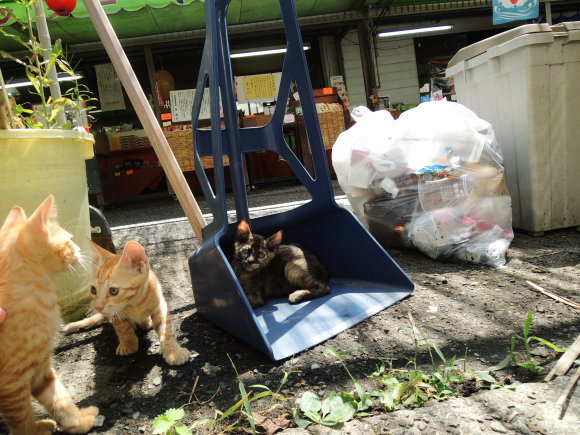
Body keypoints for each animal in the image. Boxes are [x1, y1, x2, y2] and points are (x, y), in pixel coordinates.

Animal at [0, 196, 98, 434]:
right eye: (69, 240)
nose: (78, 248)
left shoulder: (41, 367)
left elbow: (60, 399)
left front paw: (78, 421)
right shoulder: (11, 384)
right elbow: (22, 419)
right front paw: (34, 430)